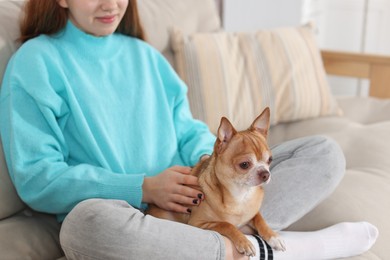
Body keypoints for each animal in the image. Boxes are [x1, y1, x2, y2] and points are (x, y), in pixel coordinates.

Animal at [148, 107, 284, 256]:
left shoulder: (252, 213)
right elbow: (226, 224)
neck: (240, 196)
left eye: (270, 160)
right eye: (244, 164)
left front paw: (273, 236)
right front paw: (244, 242)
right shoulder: (198, 223)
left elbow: (260, 219)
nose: (265, 174)